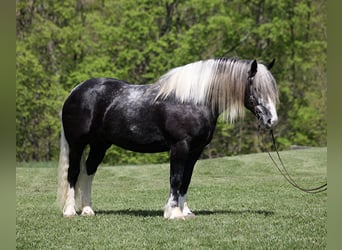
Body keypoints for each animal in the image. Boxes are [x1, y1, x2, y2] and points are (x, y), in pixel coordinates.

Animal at [57, 56, 280, 219]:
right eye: (256, 89)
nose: (271, 120)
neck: (192, 101)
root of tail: (77, 90)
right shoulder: (179, 146)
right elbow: (176, 177)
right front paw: (173, 213)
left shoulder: (195, 150)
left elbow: (186, 180)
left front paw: (185, 211)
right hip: (77, 143)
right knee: (73, 172)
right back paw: (70, 211)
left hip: (100, 144)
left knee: (89, 171)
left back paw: (87, 210)